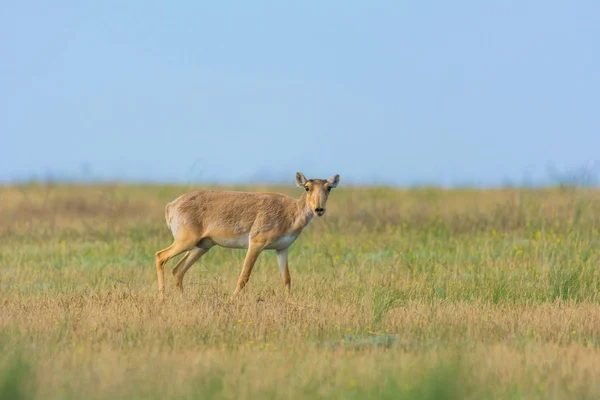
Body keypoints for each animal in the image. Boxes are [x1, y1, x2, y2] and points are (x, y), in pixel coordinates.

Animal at [157, 170, 340, 298]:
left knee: (177, 270)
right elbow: (244, 276)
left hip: (202, 246)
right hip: (186, 242)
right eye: (307, 187)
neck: (290, 211)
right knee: (160, 256)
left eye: (329, 188)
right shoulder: (256, 244)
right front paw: (231, 301)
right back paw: (163, 299)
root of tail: (171, 205)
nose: (319, 209)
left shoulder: (282, 249)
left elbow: (287, 279)